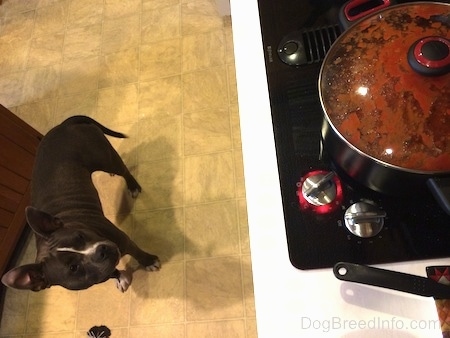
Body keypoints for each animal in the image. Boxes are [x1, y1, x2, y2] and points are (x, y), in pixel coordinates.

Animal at [0, 116, 160, 290]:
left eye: (80, 236)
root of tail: (64, 124)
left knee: (122, 170)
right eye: (73, 268)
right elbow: (110, 272)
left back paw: (133, 186)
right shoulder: (99, 275)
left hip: (105, 158)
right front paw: (120, 277)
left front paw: (149, 261)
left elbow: (137, 252)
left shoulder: (123, 240)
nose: (101, 250)